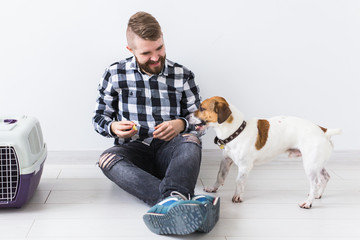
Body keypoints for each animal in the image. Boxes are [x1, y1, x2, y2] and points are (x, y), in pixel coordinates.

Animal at [190, 95, 342, 208]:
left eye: (201, 107)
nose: (187, 115)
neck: (237, 131)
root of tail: (323, 131)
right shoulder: (226, 161)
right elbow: (220, 177)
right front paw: (213, 189)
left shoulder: (244, 167)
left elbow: (239, 181)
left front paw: (238, 196)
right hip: (317, 164)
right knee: (325, 177)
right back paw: (317, 195)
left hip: (310, 165)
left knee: (315, 183)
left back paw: (308, 202)